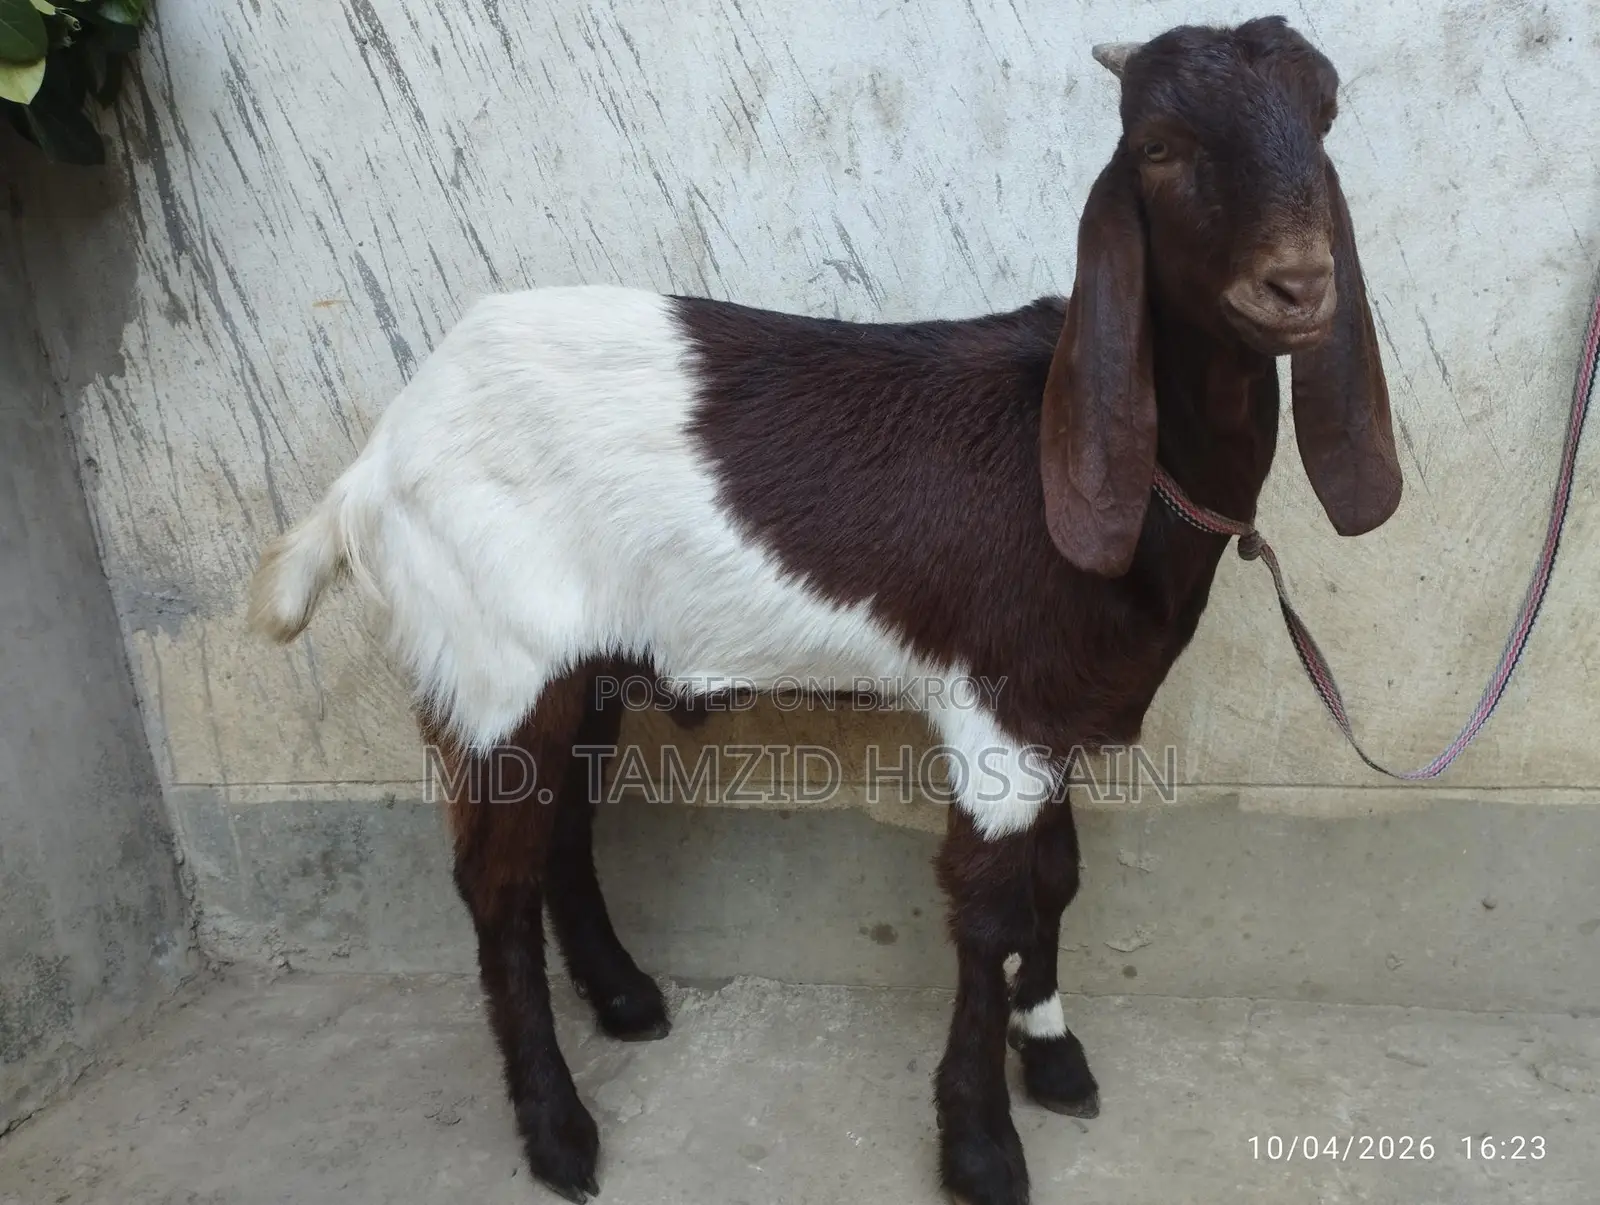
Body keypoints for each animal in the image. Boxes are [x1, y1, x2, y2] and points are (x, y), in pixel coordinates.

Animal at [247, 16, 1400, 1205]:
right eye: (1160, 147)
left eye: (1323, 120)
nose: (1296, 285)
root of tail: (377, 461)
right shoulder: (996, 714)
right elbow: (990, 912)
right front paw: (979, 1143)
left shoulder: (1055, 710)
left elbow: (1058, 880)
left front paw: (1053, 1053)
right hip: (497, 664)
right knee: (496, 879)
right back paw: (559, 1132)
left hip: (588, 665)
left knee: (563, 829)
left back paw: (624, 998)